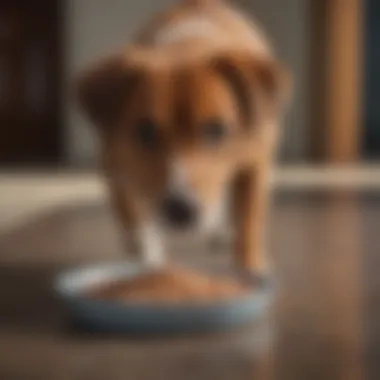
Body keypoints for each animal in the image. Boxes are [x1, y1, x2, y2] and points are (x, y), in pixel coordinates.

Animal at [76, 0, 290, 274]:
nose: (181, 210)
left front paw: (250, 266)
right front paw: (147, 264)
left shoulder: (256, 165)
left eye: (216, 130)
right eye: (145, 131)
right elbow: (136, 225)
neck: (186, 47)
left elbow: (250, 217)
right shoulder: (115, 167)